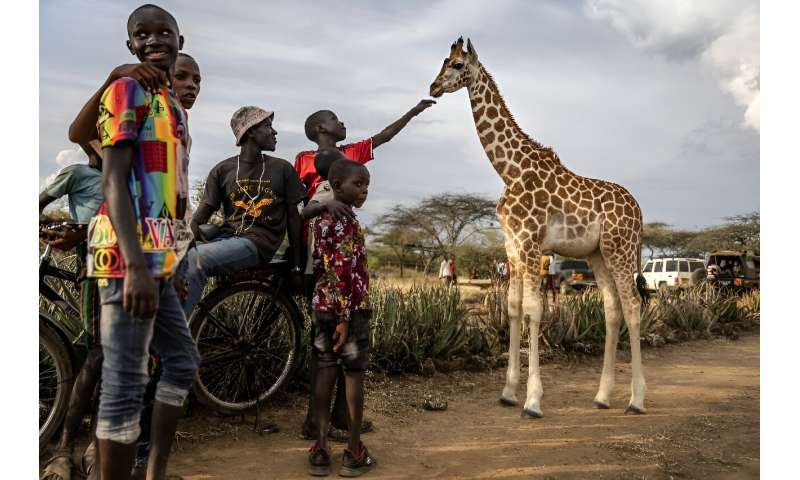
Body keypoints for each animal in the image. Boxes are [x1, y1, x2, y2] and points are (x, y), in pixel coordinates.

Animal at [432, 39, 644, 418]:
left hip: (620, 250)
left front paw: (532, 401)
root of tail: (639, 210)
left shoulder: (531, 243)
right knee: (612, 309)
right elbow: (514, 308)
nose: (433, 87)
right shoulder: (512, 247)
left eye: (457, 65)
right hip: (598, 254)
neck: (510, 169)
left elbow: (533, 310)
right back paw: (602, 396)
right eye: (443, 61)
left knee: (633, 305)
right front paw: (508, 392)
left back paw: (636, 400)